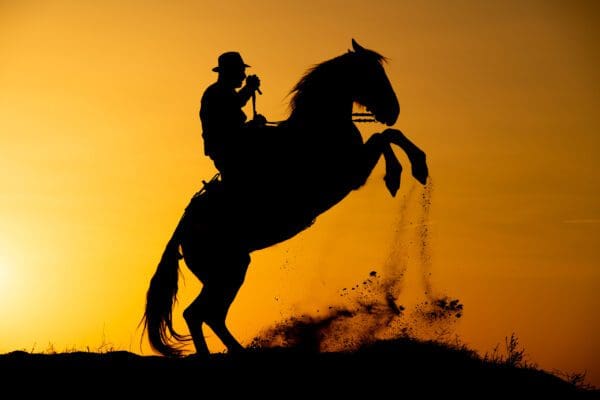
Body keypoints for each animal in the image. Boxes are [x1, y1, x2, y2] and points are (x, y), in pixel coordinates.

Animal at [143, 39, 428, 356]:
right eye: (372, 74)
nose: (394, 110)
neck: (319, 125)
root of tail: (182, 231)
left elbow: (389, 135)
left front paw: (414, 168)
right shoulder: (351, 172)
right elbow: (385, 136)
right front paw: (402, 173)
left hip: (229, 271)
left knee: (209, 315)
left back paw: (239, 351)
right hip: (226, 271)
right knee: (198, 313)